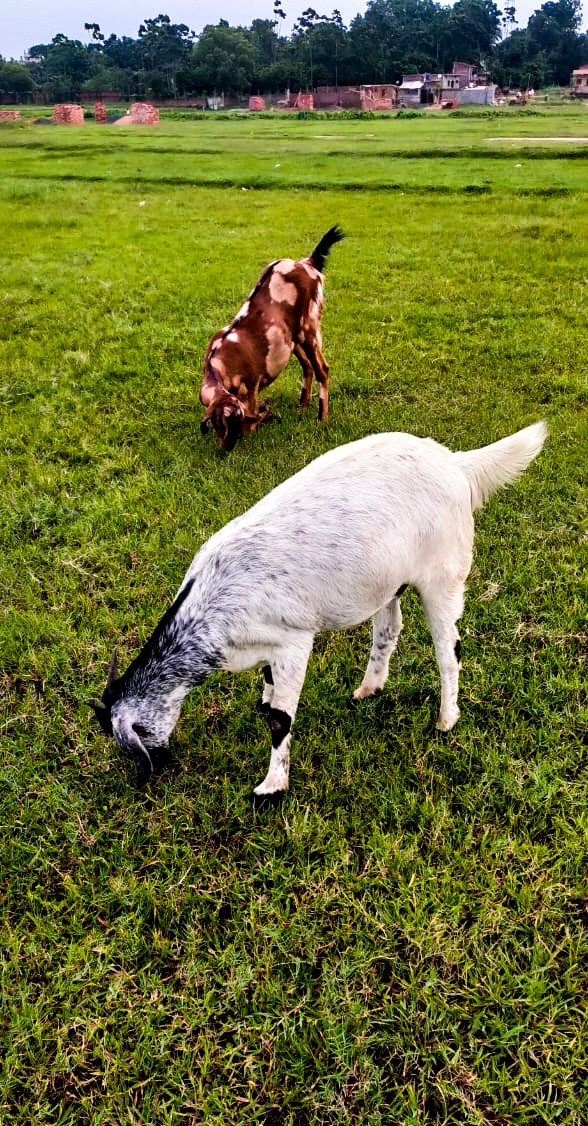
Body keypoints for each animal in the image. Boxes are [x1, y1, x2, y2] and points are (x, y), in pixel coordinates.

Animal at [91, 422, 546, 799]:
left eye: (135, 735)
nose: (157, 767)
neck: (211, 607)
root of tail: (455, 462)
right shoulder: (266, 646)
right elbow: (269, 687)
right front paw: (264, 702)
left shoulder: (294, 640)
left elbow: (280, 719)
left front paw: (271, 787)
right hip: (388, 580)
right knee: (389, 628)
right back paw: (369, 688)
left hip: (444, 573)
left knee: (447, 650)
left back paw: (446, 719)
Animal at [199, 225, 344, 451]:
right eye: (219, 423)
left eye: (230, 422)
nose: (227, 447)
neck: (217, 368)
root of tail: (307, 263)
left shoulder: (250, 389)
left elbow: (252, 417)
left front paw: (263, 415)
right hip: (293, 339)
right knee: (308, 366)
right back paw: (303, 405)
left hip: (308, 329)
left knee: (322, 369)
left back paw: (322, 418)